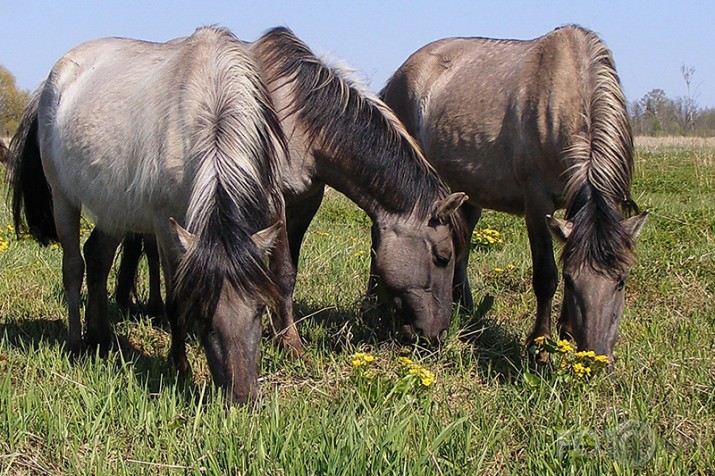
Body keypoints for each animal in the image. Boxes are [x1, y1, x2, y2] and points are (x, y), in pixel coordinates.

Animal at [9, 27, 290, 406]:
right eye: (203, 315)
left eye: (260, 309)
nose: (243, 399)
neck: (211, 100)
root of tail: (52, 79)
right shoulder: (165, 226)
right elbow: (173, 299)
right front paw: (180, 367)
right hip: (63, 198)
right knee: (74, 266)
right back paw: (77, 342)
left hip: (113, 209)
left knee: (97, 258)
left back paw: (102, 337)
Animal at [114, 26, 468, 346]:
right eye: (443, 257)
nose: (438, 334)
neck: (299, 120)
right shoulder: (275, 200)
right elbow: (281, 271)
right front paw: (290, 342)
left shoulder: (306, 201)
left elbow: (289, 270)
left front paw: (277, 330)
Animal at [380, 25, 648, 360]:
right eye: (572, 281)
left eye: (621, 281)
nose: (596, 358)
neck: (567, 89)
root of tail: (400, 73)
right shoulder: (537, 203)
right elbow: (546, 275)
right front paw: (540, 344)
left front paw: (566, 332)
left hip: (467, 193)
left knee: (461, 246)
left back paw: (465, 309)